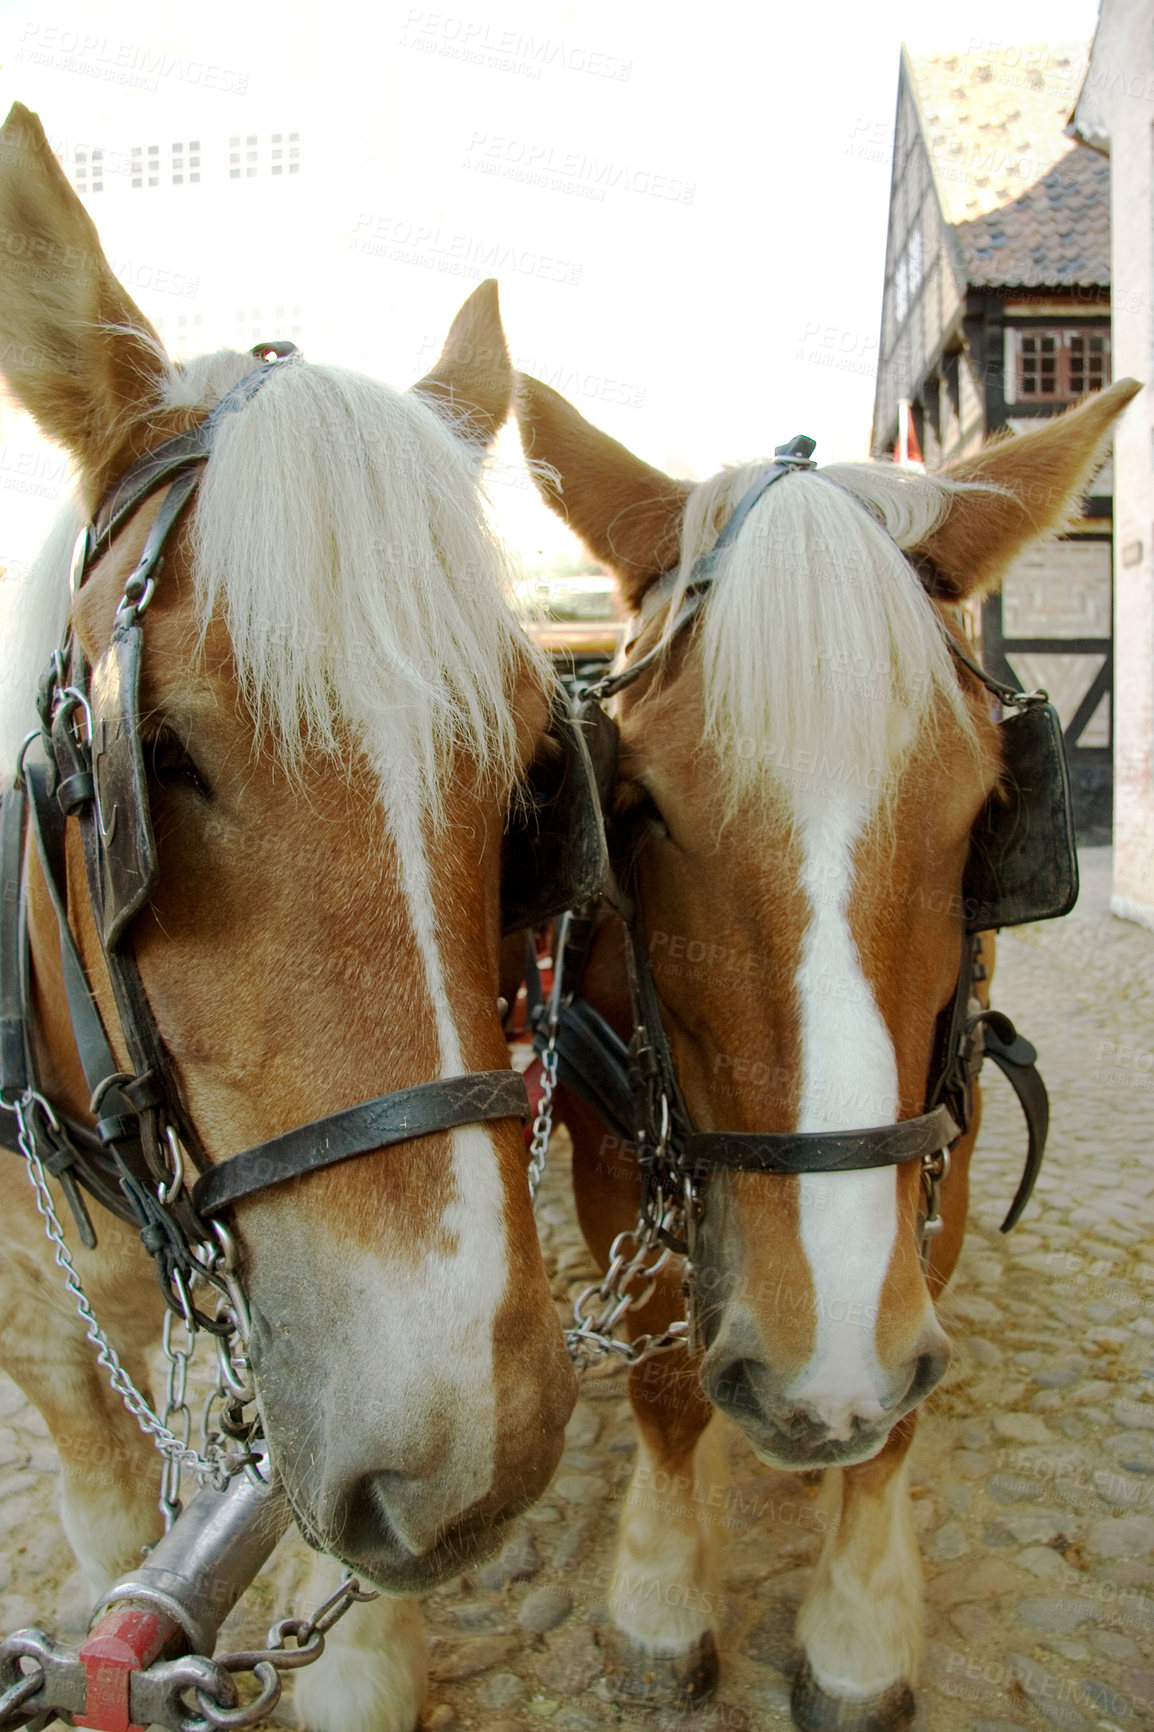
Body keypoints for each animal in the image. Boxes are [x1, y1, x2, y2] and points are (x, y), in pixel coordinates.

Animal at [512, 355, 1143, 1732]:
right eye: (632, 805)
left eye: (987, 810)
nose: (822, 1367)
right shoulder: (615, 1142)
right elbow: (664, 1379)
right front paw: (660, 1593)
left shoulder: (942, 1132)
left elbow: (903, 1405)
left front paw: (856, 1626)